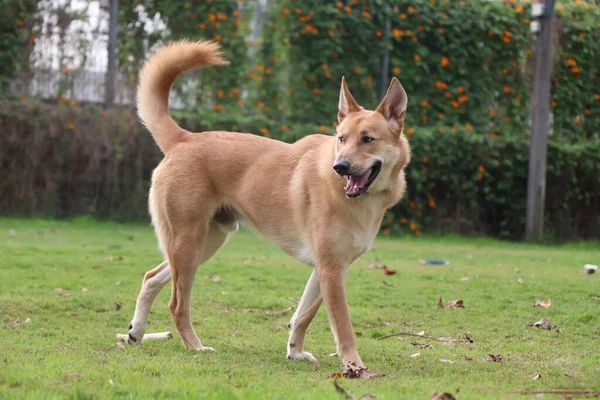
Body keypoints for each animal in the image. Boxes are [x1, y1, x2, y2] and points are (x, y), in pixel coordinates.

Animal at [125, 39, 410, 380]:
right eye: (342, 139)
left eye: (367, 139)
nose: (340, 166)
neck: (359, 200)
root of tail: (184, 139)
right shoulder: (330, 270)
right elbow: (343, 326)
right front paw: (353, 365)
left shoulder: (328, 268)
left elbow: (303, 315)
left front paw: (295, 352)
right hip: (188, 245)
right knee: (177, 305)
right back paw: (195, 346)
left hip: (201, 245)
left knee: (151, 277)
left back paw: (136, 332)